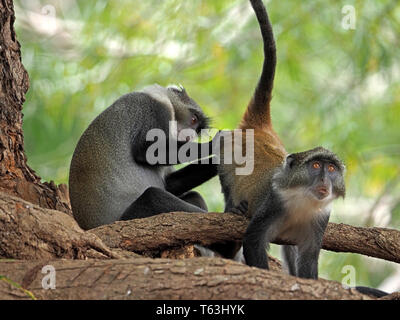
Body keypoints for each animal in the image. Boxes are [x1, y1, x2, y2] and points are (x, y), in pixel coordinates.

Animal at [68, 84, 222, 230]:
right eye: (193, 119)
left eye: (197, 129)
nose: (190, 136)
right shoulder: (154, 110)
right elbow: (146, 152)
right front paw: (216, 143)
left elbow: (170, 184)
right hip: (129, 217)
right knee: (153, 196)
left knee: (194, 195)